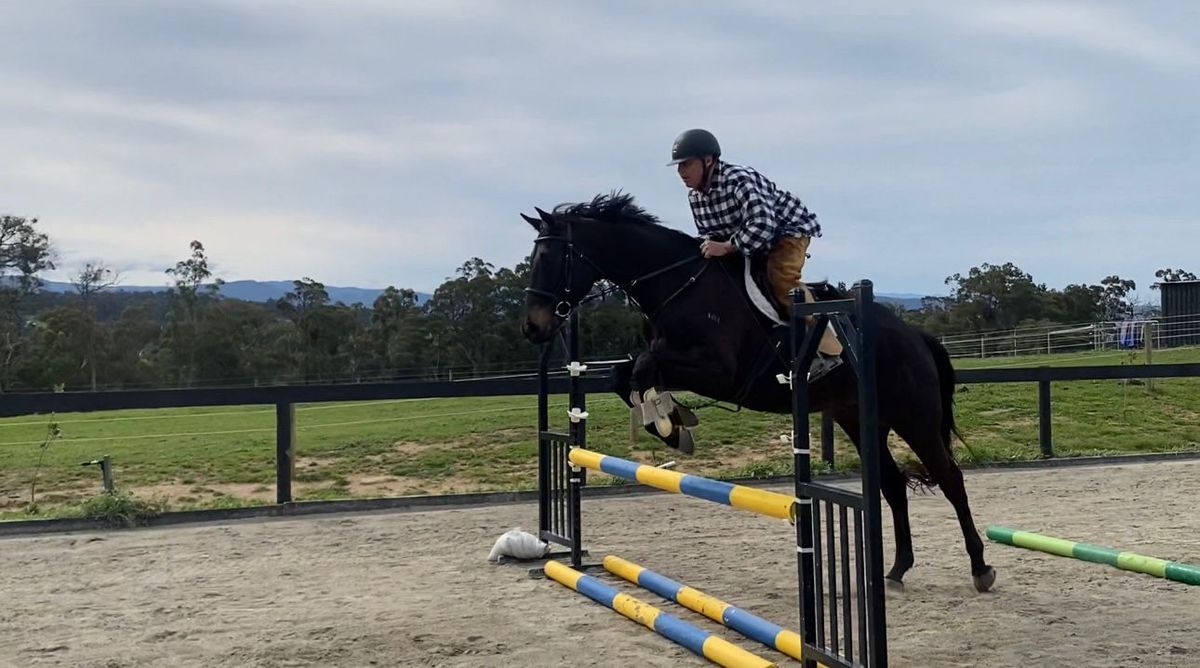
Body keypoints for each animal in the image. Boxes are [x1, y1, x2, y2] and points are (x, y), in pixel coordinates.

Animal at [520, 190, 998, 592]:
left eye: (550, 257)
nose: (532, 328)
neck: (678, 284)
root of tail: (915, 335)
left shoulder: (717, 370)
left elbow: (641, 370)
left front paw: (672, 425)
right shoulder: (674, 361)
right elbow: (626, 376)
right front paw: (671, 424)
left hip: (914, 417)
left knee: (950, 479)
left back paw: (980, 568)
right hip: (861, 418)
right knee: (893, 484)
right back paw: (897, 570)